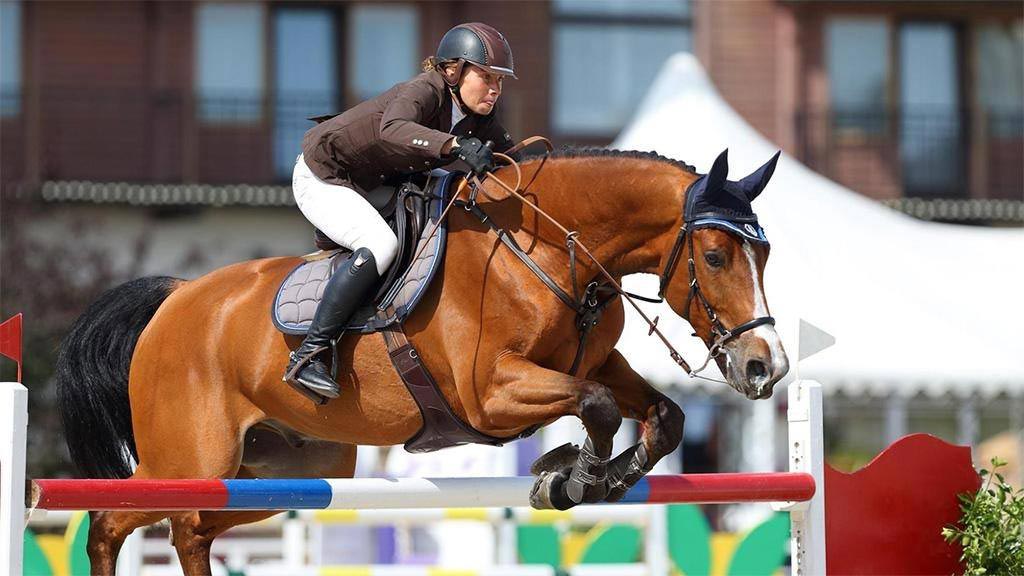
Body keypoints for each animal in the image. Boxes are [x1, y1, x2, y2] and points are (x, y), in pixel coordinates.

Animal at [56, 146, 786, 569]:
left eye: (766, 253)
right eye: (714, 257)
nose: (766, 366)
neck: (548, 250)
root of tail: (176, 299)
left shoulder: (596, 365)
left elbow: (662, 417)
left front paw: (587, 477)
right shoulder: (489, 395)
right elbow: (599, 408)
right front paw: (569, 476)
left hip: (293, 468)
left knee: (194, 530)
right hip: (190, 461)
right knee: (111, 522)